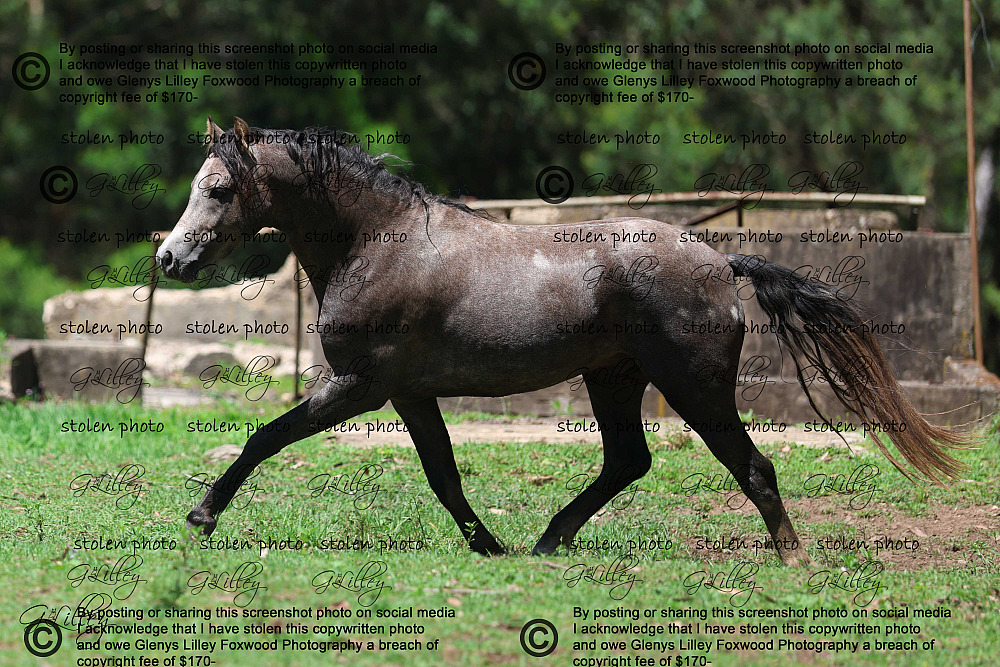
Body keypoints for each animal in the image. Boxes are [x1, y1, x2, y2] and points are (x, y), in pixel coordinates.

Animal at [157, 117, 968, 566]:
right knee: (628, 460)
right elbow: (444, 476)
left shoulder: (360, 384)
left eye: (219, 190)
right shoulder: (410, 393)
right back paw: (549, 540)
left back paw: (790, 557)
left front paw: (201, 516)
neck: (379, 244)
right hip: (615, 380)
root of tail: (719, 260)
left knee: (752, 464)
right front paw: (489, 546)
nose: (169, 258)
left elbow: (266, 436)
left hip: (696, 387)